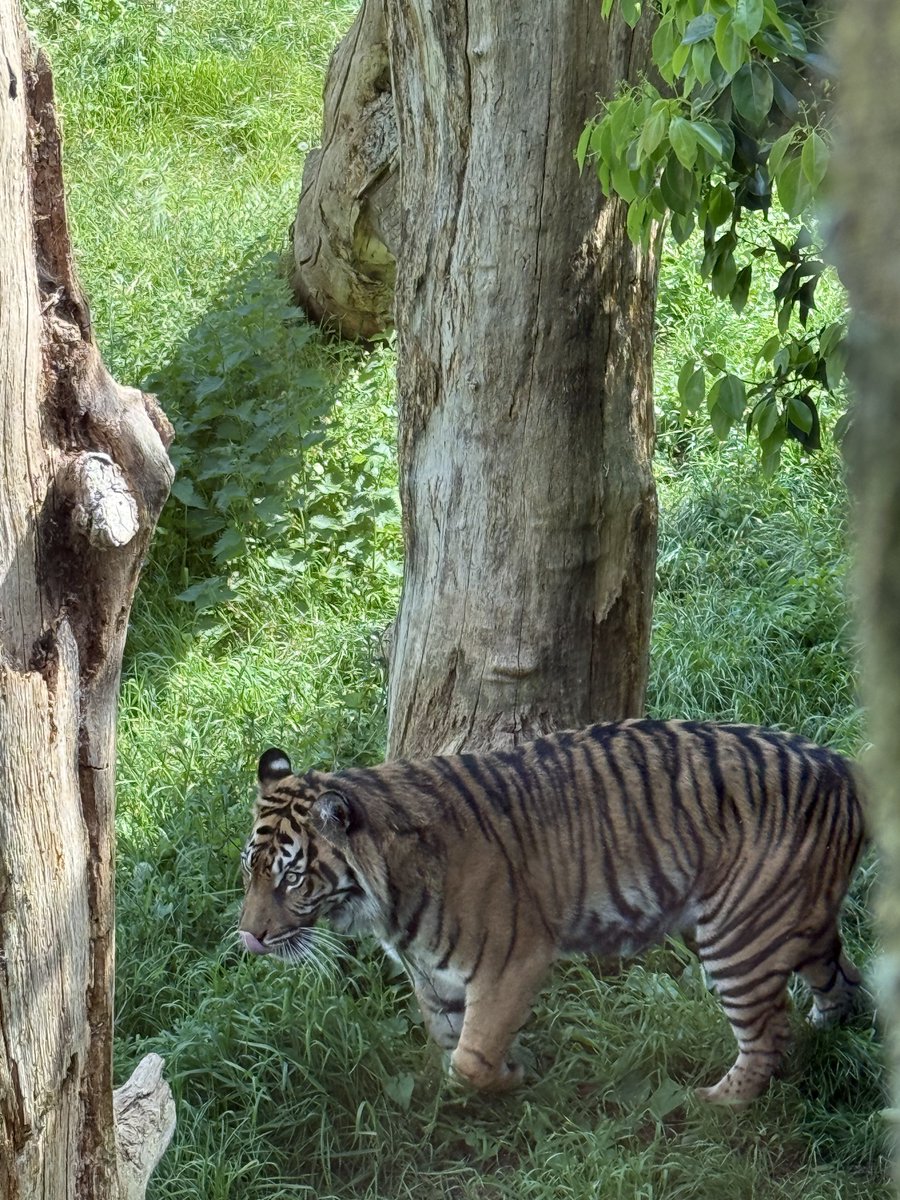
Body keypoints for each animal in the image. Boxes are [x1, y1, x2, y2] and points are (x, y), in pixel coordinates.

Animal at [238, 719, 867, 1105]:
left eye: (291, 877)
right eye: (250, 871)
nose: (248, 940)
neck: (384, 900)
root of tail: (842, 767)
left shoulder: (510, 961)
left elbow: (471, 1055)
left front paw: (510, 1075)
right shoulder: (432, 974)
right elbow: (448, 1041)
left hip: (737, 936)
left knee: (770, 1030)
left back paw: (716, 1105)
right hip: (796, 921)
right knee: (841, 979)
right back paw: (830, 1032)